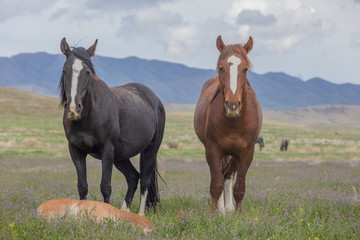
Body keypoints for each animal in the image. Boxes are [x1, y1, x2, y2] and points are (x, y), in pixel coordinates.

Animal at [59, 38, 166, 216]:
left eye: (87, 72)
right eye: (65, 71)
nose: (74, 109)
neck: (90, 116)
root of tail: (154, 99)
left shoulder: (107, 150)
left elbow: (105, 187)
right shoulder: (76, 151)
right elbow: (82, 186)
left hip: (150, 151)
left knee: (144, 181)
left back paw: (140, 214)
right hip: (121, 156)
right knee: (133, 177)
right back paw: (125, 211)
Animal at [194, 35, 262, 214]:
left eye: (245, 69)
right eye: (221, 68)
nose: (232, 105)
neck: (234, 123)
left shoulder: (246, 152)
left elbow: (239, 186)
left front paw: (238, 214)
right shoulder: (213, 149)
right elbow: (216, 184)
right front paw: (214, 214)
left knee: (228, 176)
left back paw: (229, 208)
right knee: (221, 175)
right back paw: (222, 209)